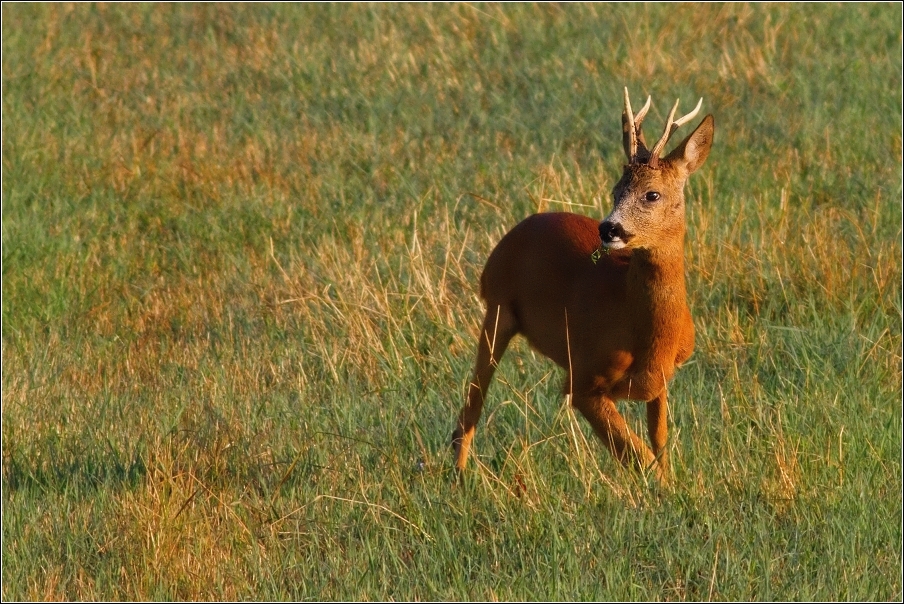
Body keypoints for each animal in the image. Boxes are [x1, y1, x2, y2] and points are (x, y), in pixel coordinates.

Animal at [452, 89, 712, 486]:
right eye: (615, 190)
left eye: (651, 194)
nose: (609, 228)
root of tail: (511, 236)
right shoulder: (584, 377)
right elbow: (639, 455)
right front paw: (666, 493)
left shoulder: (662, 380)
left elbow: (658, 443)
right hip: (497, 307)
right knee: (472, 404)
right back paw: (458, 475)